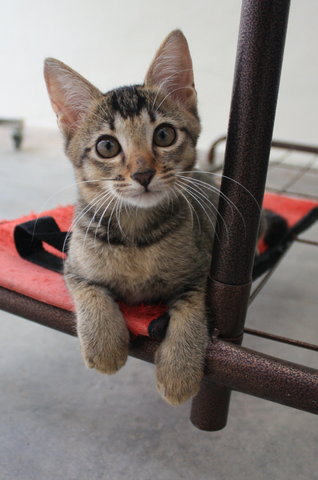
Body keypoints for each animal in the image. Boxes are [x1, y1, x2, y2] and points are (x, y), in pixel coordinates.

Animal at [44, 30, 219, 404]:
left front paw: (179, 371)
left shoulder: (201, 272)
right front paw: (104, 345)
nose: (143, 173)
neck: (136, 234)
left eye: (164, 135)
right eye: (107, 146)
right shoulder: (73, 267)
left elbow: (192, 310)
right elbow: (90, 292)